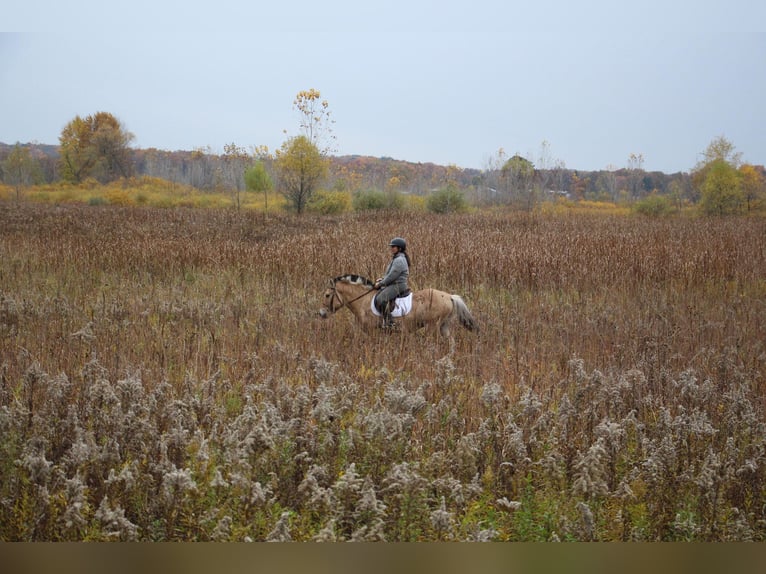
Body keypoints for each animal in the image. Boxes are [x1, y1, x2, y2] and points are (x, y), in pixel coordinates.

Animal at [320, 274, 480, 338]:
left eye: (327, 295)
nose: (321, 313)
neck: (363, 300)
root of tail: (449, 296)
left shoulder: (372, 331)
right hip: (444, 325)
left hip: (433, 326)